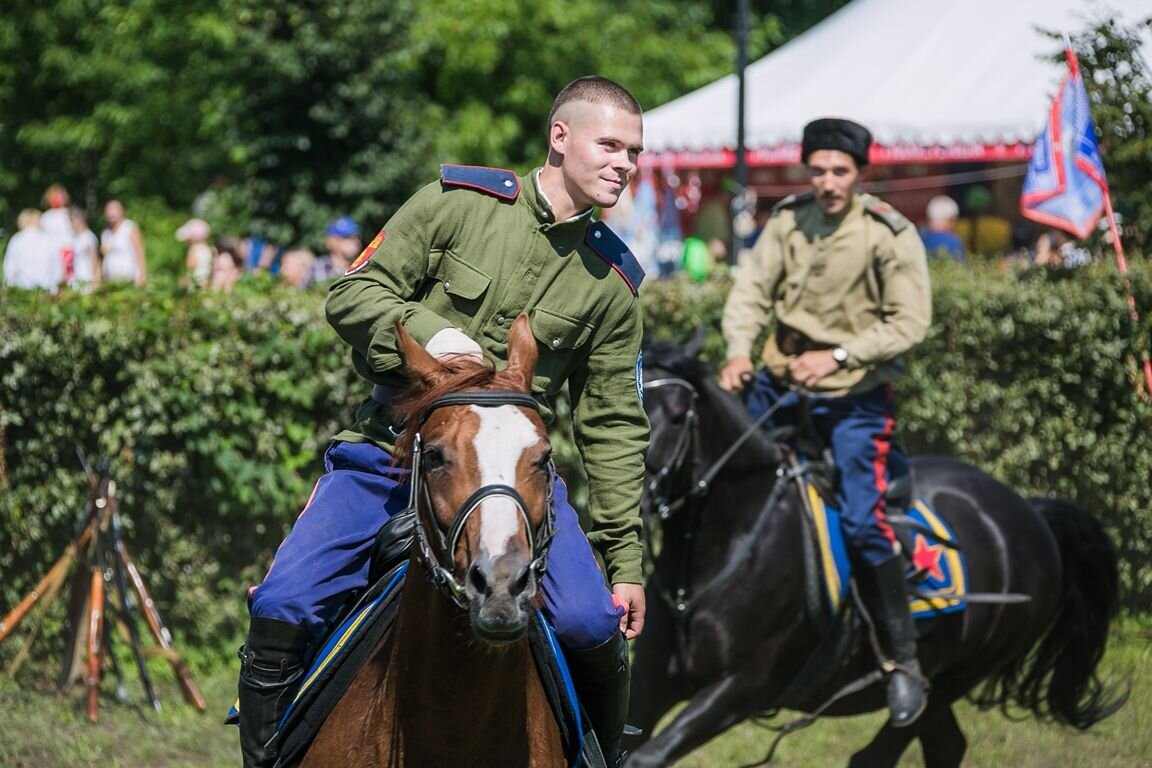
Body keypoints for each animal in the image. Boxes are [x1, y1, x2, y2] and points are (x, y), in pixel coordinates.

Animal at [626, 336, 1119, 768]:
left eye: (676, 417)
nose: (631, 498)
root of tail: (1032, 514)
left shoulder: (739, 688)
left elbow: (644, 758)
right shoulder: (650, 682)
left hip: (955, 678)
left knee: (879, 754)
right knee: (946, 747)